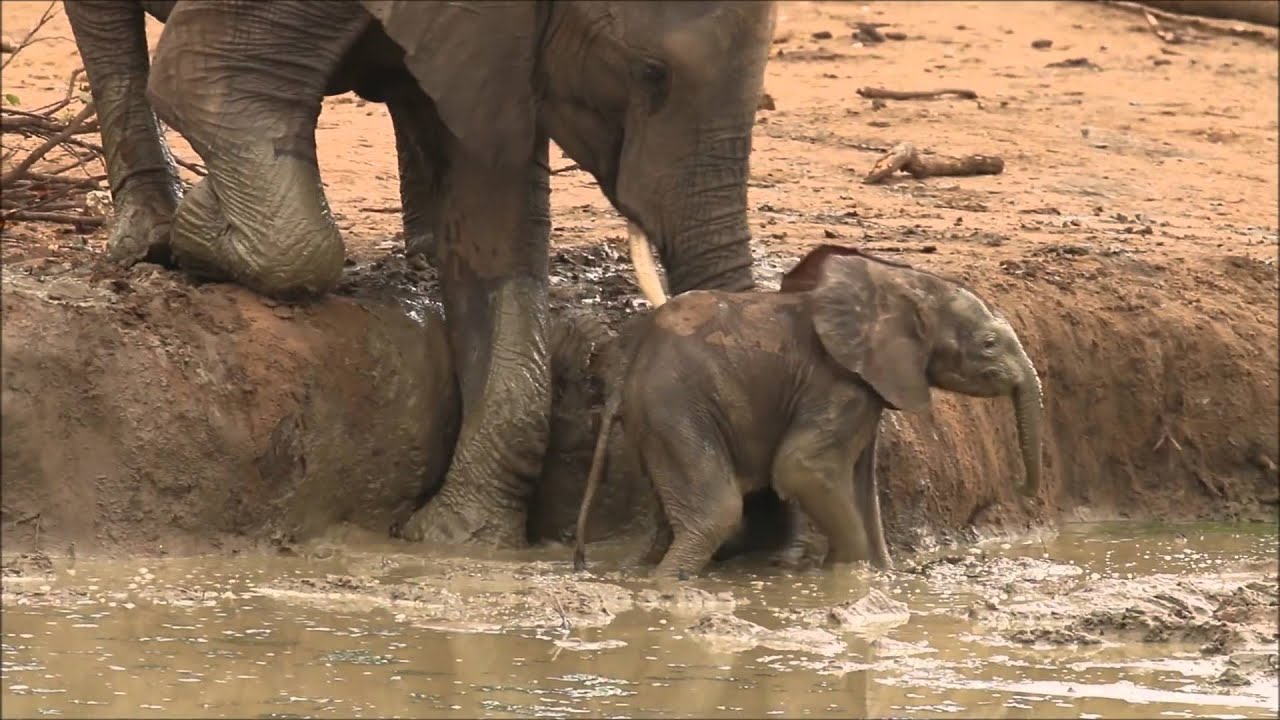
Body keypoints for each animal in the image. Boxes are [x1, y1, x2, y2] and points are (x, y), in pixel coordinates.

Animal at [67, 0, 778, 545]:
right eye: (650, 73)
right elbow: (203, 89)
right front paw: (201, 222)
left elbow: (496, 221)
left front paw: (456, 540)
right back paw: (152, 235)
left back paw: (423, 254)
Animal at [570, 242, 1039, 576]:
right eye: (989, 344)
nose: (1020, 489)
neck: (899, 284)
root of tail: (625, 366)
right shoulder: (836, 385)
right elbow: (802, 469)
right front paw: (847, 575)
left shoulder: (867, 388)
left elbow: (861, 486)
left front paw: (881, 573)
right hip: (677, 407)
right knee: (715, 514)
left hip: (658, 420)